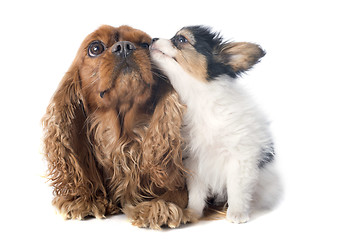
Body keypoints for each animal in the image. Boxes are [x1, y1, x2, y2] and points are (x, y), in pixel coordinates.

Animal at [150, 25, 280, 223]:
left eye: (181, 39)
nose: (151, 39)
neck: (198, 99)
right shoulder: (196, 161)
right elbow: (196, 192)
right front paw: (192, 213)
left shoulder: (241, 157)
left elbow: (237, 189)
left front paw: (237, 213)